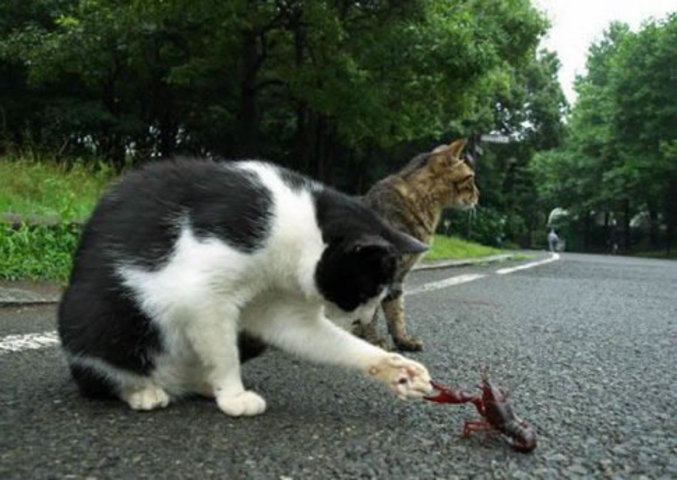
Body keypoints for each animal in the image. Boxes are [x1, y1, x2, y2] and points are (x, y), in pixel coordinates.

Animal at [55, 159, 430, 414]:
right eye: (364, 294)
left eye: (380, 296)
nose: (364, 320)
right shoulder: (202, 293)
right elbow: (223, 352)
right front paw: (234, 396)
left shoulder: (280, 304)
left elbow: (308, 334)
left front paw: (396, 369)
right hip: (95, 316)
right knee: (103, 373)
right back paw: (143, 392)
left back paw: (203, 385)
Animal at [356, 139, 478, 352]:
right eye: (471, 178)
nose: (479, 195)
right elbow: (371, 314)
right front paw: (373, 341)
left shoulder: (399, 275)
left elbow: (397, 311)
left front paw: (403, 340)